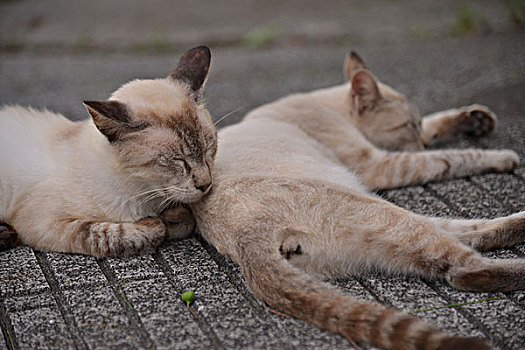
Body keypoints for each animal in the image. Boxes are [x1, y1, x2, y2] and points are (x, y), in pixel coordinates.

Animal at [0, 45, 217, 256]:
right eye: (178, 160)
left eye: (209, 148)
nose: (206, 185)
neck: (140, 193)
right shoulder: (42, 223)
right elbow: (107, 235)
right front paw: (154, 223)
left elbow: (185, 220)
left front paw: (171, 216)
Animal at [190, 52, 520, 350]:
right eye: (407, 128)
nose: (420, 143)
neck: (328, 108)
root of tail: (244, 237)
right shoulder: (382, 164)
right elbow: (452, 158)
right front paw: (504, 156)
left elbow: (436, 125)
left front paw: (477, 121)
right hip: (378, 210)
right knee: (465, 269)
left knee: (464, 235)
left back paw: (521, 220)